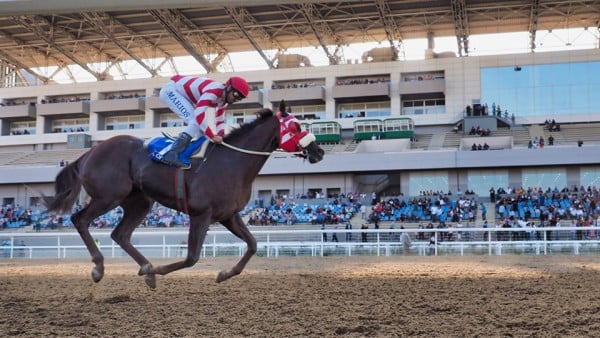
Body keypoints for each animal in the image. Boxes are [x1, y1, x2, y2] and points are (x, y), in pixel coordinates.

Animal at [44, 101, 324, 288]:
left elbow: (253, 245)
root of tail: (89, 153)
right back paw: (100, 267)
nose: (319, 151)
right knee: (80, 219)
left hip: (139, 202)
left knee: (119, 234)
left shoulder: (229, 215)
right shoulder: (201, 214)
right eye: (297, 125)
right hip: (107, 196)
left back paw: (145, 267)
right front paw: (159, 269)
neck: (232, 162)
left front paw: (224, 274)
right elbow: (191, 257)